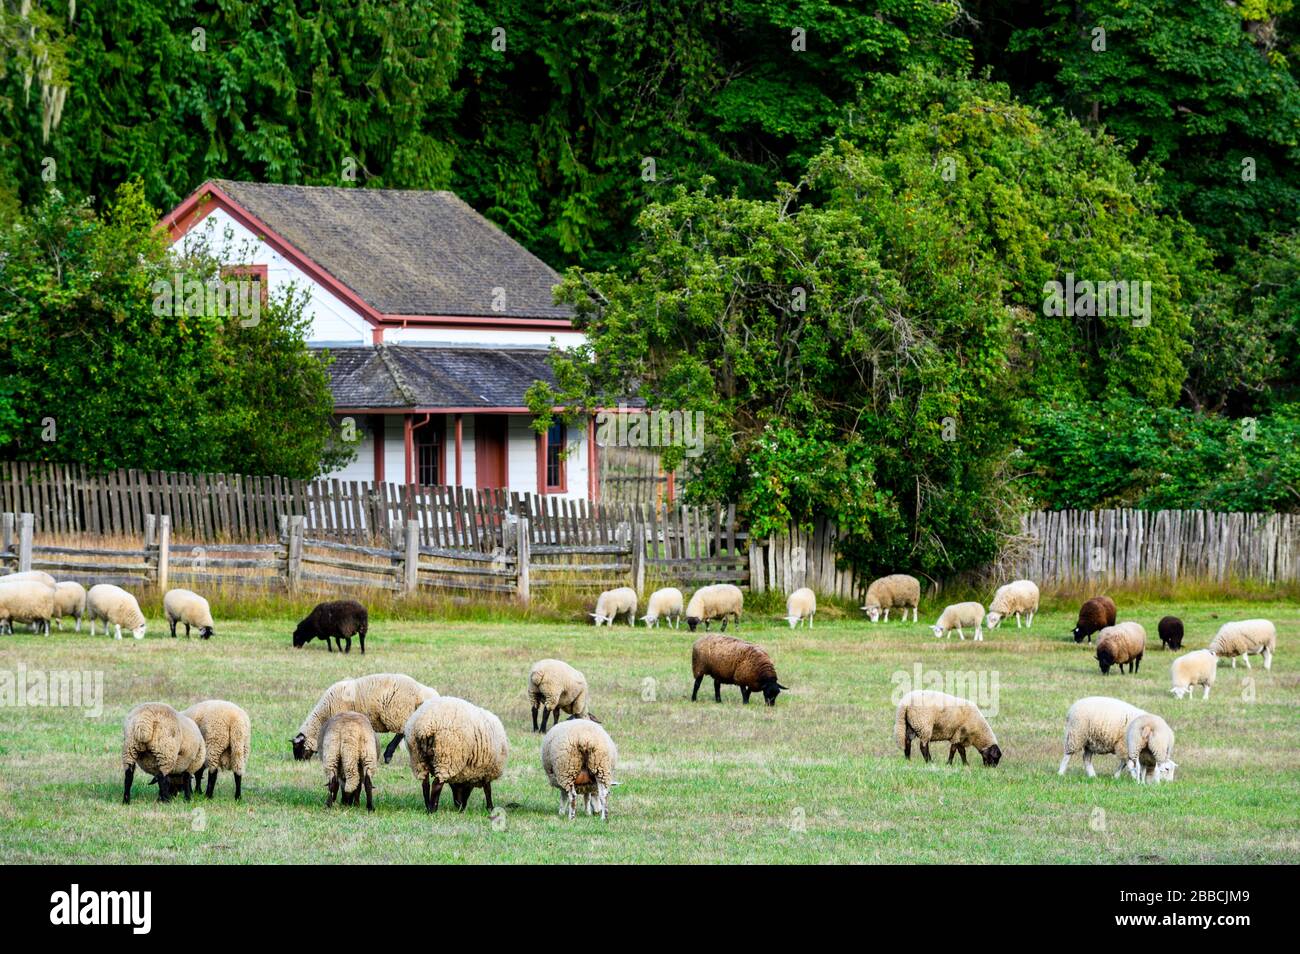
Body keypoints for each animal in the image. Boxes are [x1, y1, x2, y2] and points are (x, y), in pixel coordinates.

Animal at [292, 673, 439, 764]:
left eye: (298, 747)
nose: (298, 761)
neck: (324, 714)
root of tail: (420, 691)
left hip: (397, 712)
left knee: (401, 732)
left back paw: (388, 755)